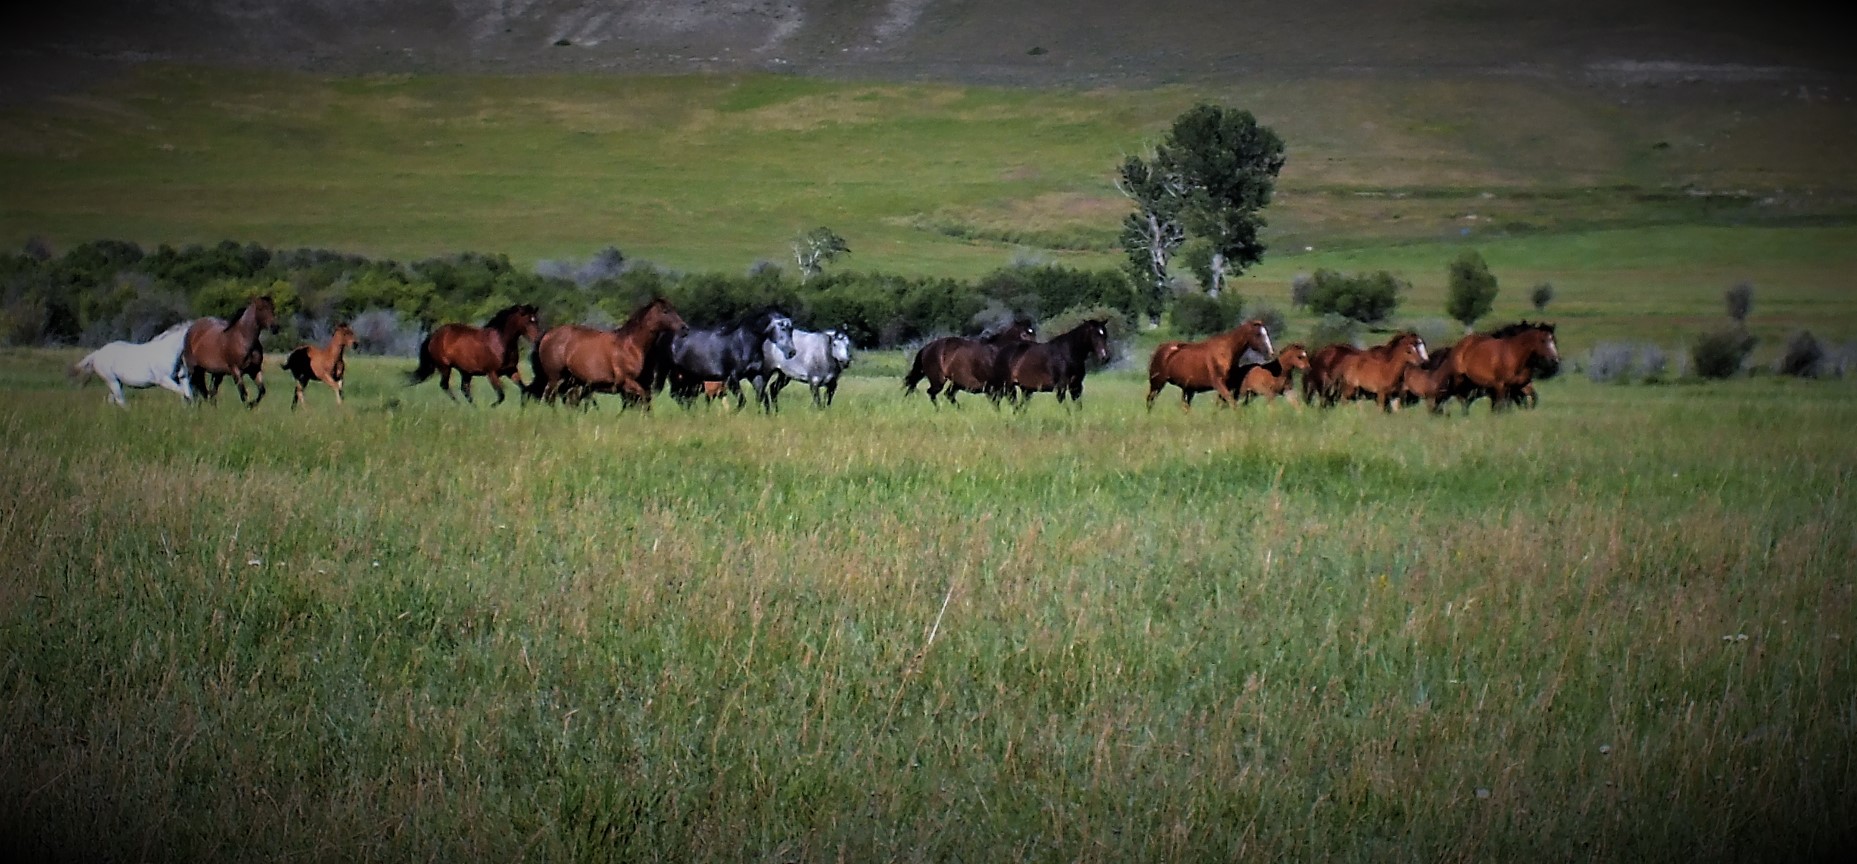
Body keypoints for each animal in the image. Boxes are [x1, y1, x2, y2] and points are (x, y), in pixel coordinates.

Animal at [406, 304, 541, 405]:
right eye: (528, 321)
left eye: (536, 320)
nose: (537, 339)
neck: (500, 342)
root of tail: (434, 335)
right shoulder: (491, 373)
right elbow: (501, 395)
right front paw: (490, 407)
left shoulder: (511, 370)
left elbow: (524, 388)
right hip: (445, 367)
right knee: (445, 385)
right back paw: (460, 405)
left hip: (465, 372)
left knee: (464, 390)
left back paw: (473, 407)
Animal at [528, 298, 688, 410]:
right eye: (665, 311)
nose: (684, 328)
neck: (631, 345)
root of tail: (547, 335)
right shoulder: (627, 381)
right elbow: (642, 399)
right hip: (555, 378)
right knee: (549, 398)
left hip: (569, 381)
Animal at [666, 307, 795, 412]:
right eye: (782, 328)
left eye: (791, 329)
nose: (792, 352)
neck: (744, 343)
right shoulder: (731, 378)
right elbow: (742, 402)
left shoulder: (755, 375)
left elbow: (763, 399)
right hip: (679, 377)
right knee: (678, 396)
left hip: (690, 379)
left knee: (684, 397)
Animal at [902, 320, 1036, 408]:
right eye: (1024, 334)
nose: (1034, 348)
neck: (997, 355)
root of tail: (927, 347)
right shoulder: (993, 388)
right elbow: (1000, 403)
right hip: (938, 380)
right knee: (932, 392)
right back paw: (939, 409)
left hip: (956, 383)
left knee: (948, 395)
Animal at [1145, 319, 1275, 411]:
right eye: (1258, 334)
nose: (1270, 353)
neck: (1225, 352)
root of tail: (1160, 348)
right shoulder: (1219, 384)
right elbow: (1232, 403)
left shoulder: (1228, 386)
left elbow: (1223, 404)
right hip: (1157, 383)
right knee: (1150, 401)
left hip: (1187, 390)